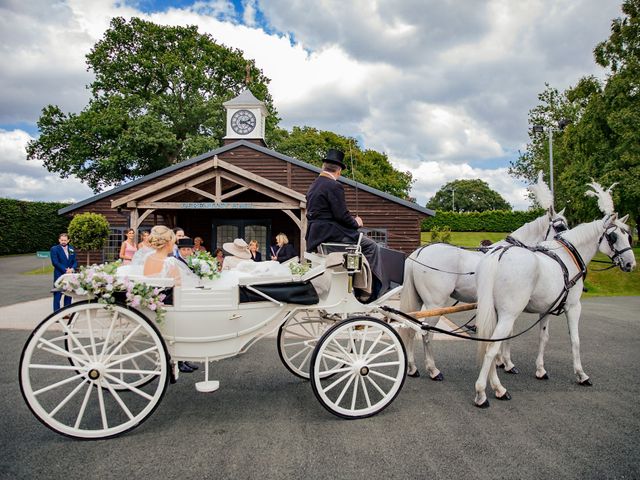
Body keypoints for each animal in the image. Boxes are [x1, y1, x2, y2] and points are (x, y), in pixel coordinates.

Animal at [400, 172, 564, 378]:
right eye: (559, 227)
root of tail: (420, 252)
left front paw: (500, 361)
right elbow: (507, 333)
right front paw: (507, 363)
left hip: (419, 300)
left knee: (410, 328)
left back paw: (412, 367)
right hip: (435, 304)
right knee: (426, 333)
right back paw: (433, 369)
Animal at [472, 182, 636, 406]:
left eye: (628, 236)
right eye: (613, 236)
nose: (630, 264)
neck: (568, 255)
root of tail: (499, 254)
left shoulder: (546, 309)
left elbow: (544, 337)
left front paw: (540, 369)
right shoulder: (573, 307)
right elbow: (575, 340)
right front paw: (581, 374)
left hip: (496, 313)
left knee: (488, 342)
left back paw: (496, 385)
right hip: (508, 314)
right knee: (491, 348)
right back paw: (483, 392)